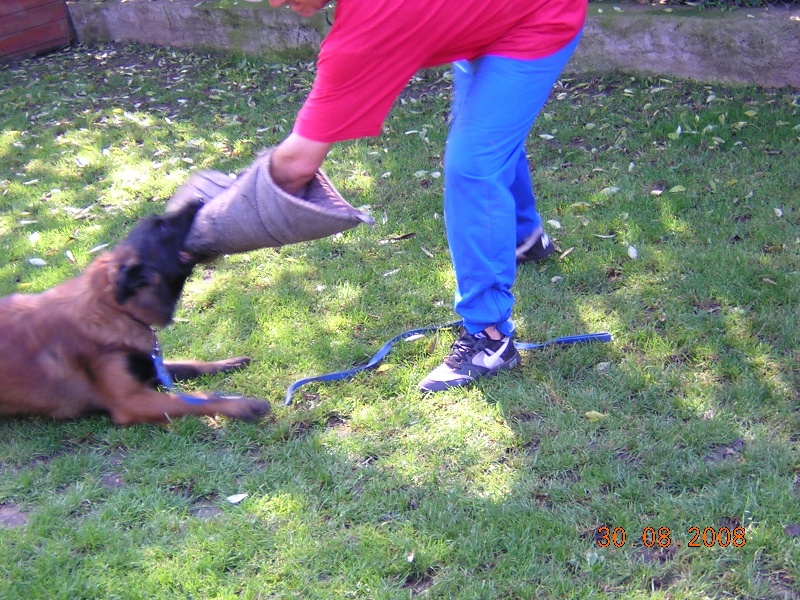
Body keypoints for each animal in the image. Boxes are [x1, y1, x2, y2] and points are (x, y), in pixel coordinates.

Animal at [0, 199, 270, 424]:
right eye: (162, 226)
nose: (198, 200)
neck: (114, 309)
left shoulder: (149, 365)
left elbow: (191, 365)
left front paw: (226, 363)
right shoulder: (131, 400)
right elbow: (197, 398)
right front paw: (240, 405)